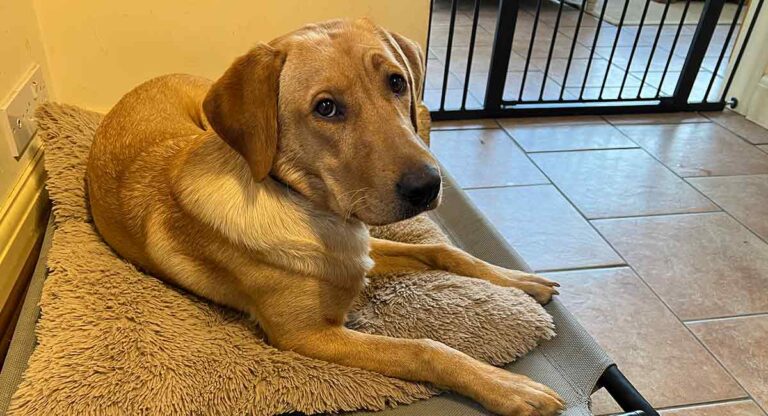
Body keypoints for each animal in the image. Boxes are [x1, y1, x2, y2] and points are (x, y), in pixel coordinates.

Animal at [85, 17, 564, 414]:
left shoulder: (363, 253)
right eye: (326, 108)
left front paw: (517, 280)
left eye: (396, 82)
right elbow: (424, 349)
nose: (427, 186)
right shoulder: (308, 335)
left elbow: (443, 251)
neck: (311, 209)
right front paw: (509, 387)